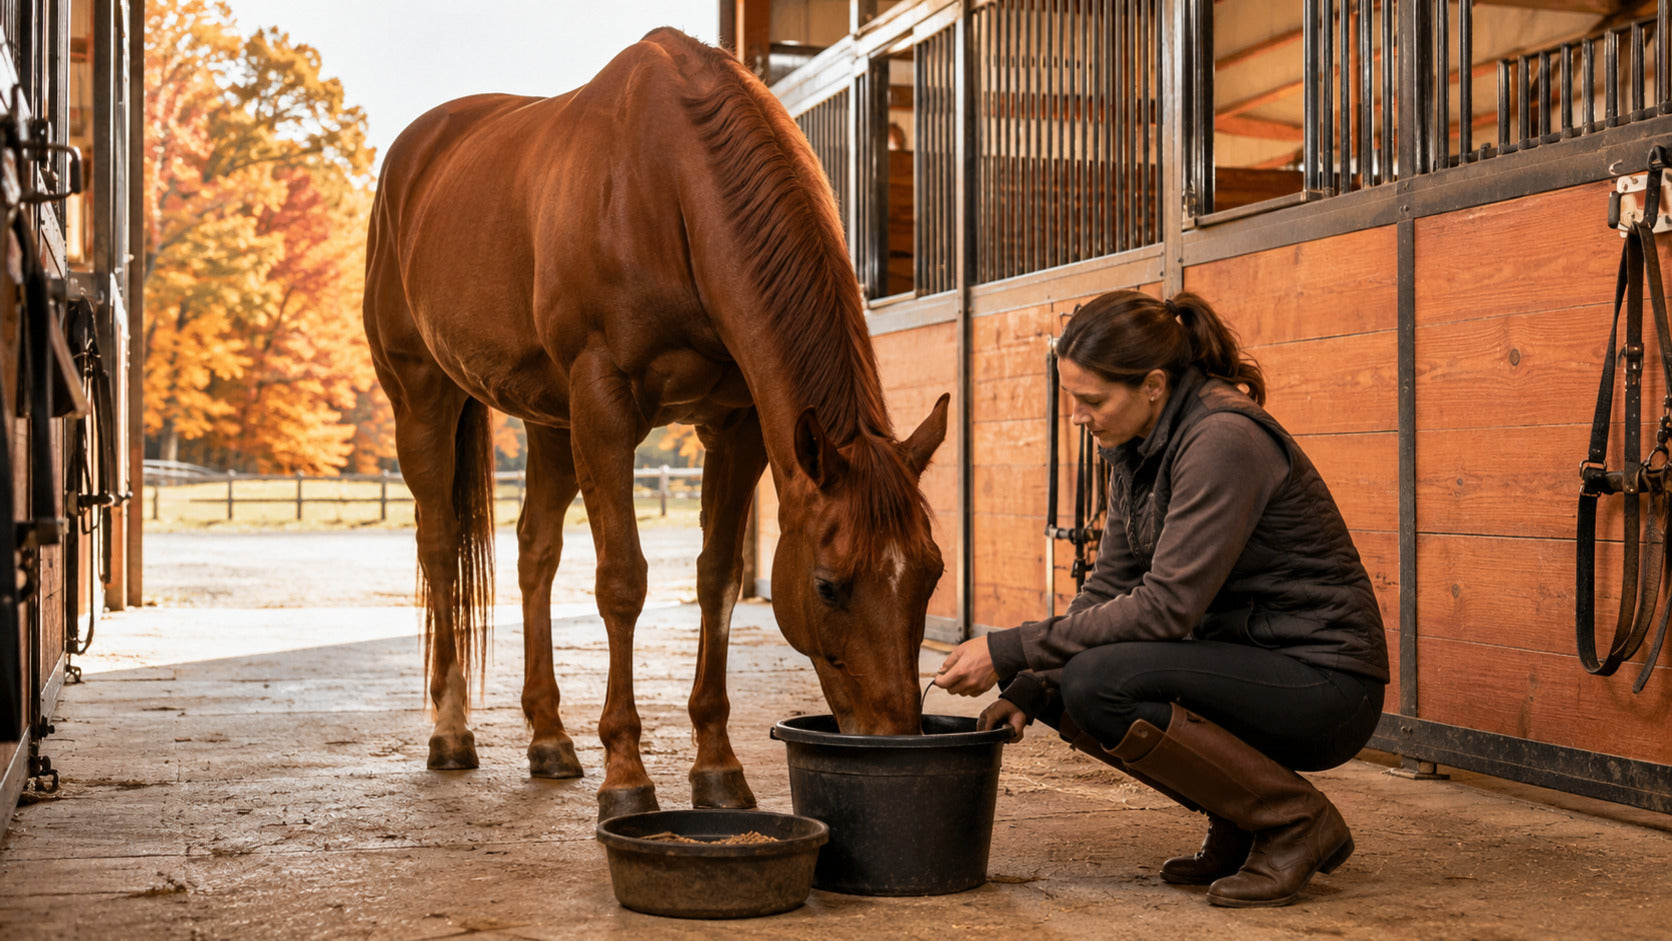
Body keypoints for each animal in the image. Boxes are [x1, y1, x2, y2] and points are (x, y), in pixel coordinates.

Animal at [362, 28, 949, 820]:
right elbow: (622, 581)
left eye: (932, 573)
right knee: (438, 545)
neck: (670, 187)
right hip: (423, 397)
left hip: (551, 422)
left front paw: (718, 766)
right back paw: (451, 732)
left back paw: (549, 737)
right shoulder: (604, 405)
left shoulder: (735, 426)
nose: (893, 737)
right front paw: (626, 775)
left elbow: (717, 579)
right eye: (829, 586)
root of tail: (410, 157)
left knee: (535, 551)